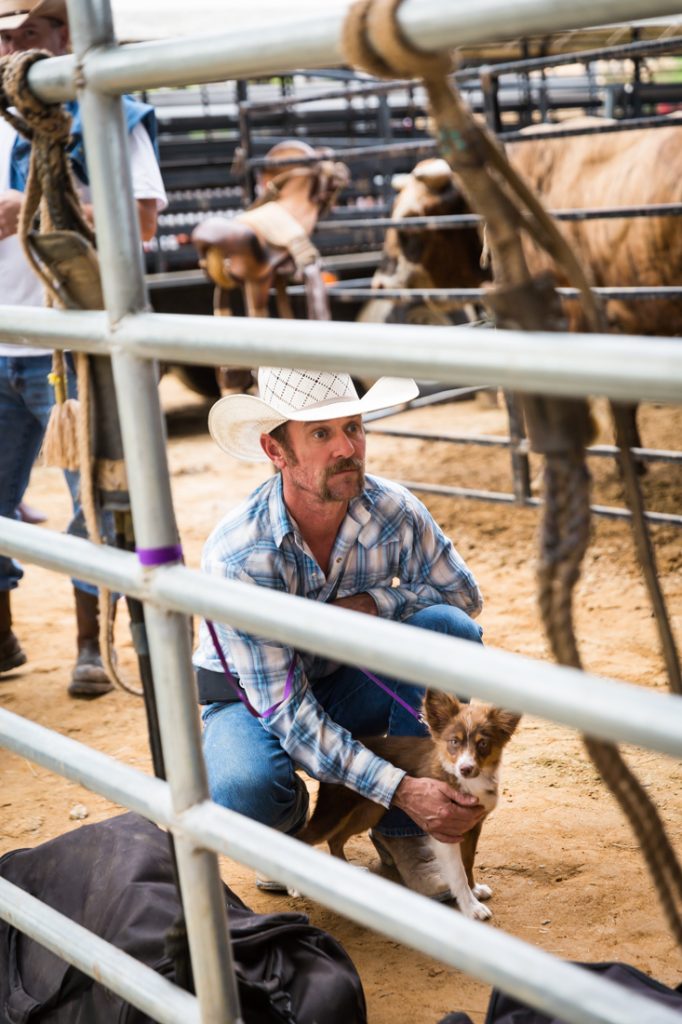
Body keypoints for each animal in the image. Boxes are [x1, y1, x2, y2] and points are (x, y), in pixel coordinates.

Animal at [294, 688, 518, 921]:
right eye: (454, 742)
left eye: (483, 743)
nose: (465, 768)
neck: (466, 781)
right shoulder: (445, 830)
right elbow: (457, 874)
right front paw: (471, 907)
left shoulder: (473, 825)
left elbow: (468, 862)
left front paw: (475, 890)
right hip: (333, 811)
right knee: (303, 837)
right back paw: (294, 885)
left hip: (369, 811)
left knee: (335, 839)